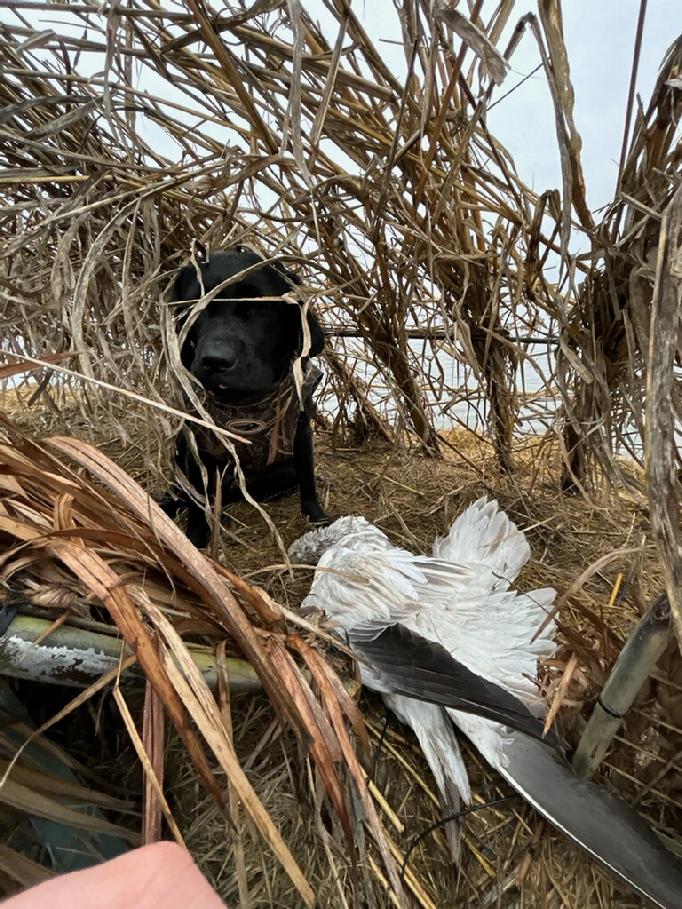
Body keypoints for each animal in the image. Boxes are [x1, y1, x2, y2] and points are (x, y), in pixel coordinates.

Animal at [161, 247, 328, 548]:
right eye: (195, 306)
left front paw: (317, 517)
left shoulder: (300, 432)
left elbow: (308, 479)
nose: (215, 361)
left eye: (258, 306)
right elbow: (197, 501)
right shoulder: (197, 449)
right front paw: (194, 539)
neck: (244, 405)